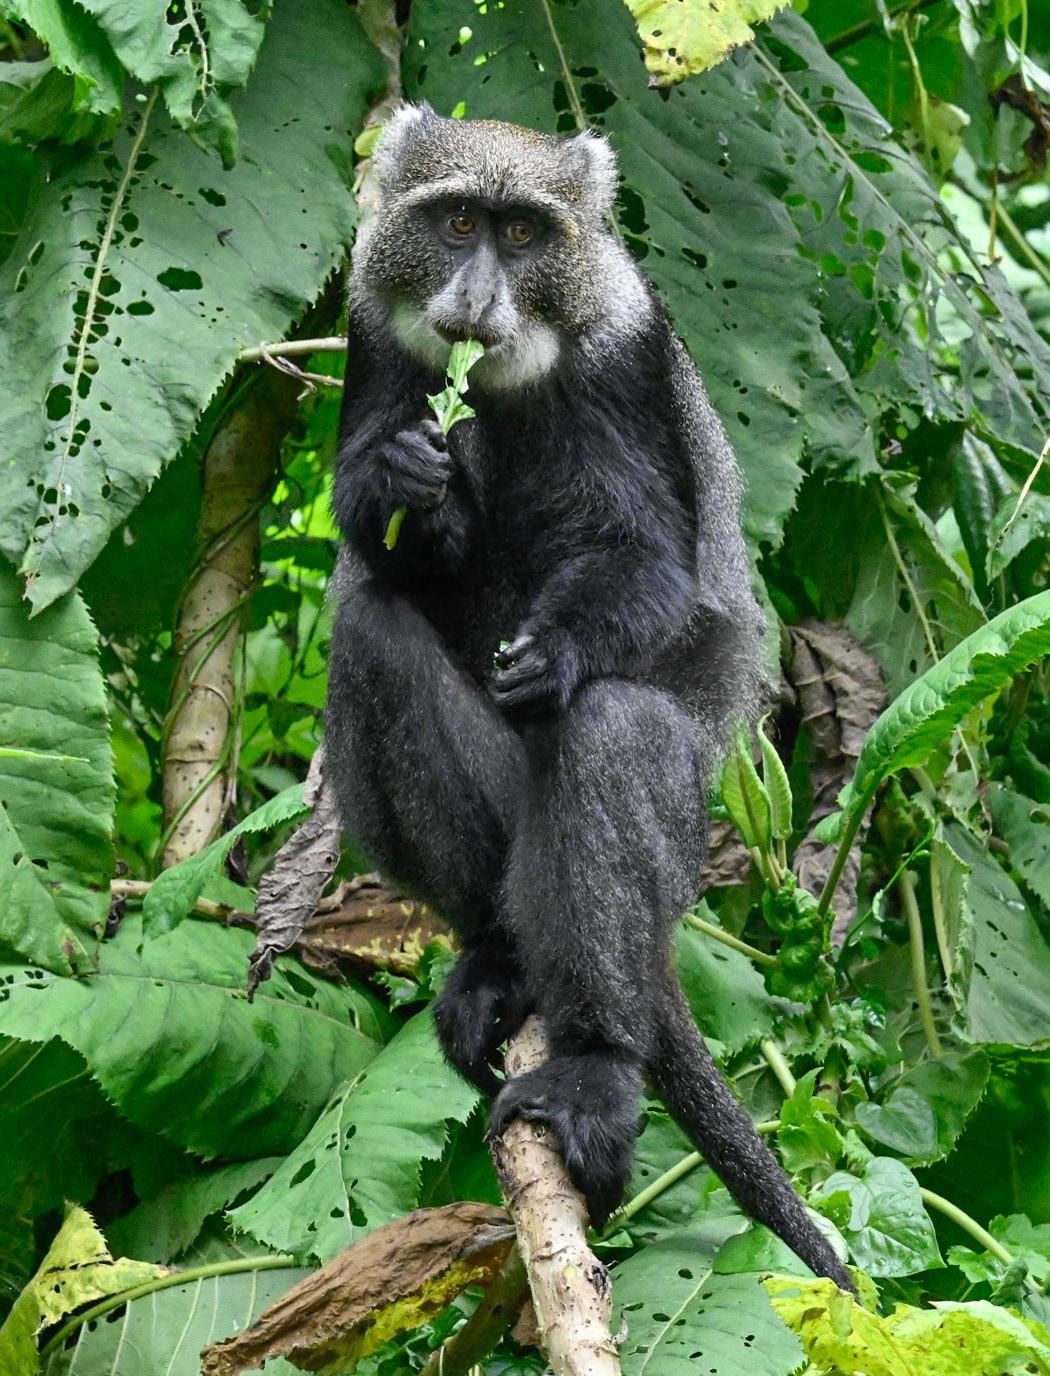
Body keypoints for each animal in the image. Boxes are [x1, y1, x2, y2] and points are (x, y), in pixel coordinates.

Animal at [324, 103, 852, 1292]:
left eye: (524, 234)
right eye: (459, 221)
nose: (473, 301)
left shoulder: (625, 358)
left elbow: (644, 558)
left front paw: (558, 652)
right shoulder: (375, 333)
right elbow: (384, 548)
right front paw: (397, 479)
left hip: (675, 835)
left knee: (614, 731)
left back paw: (597, 1064)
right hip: (498, 834)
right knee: (370, 631)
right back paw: (495, 954)